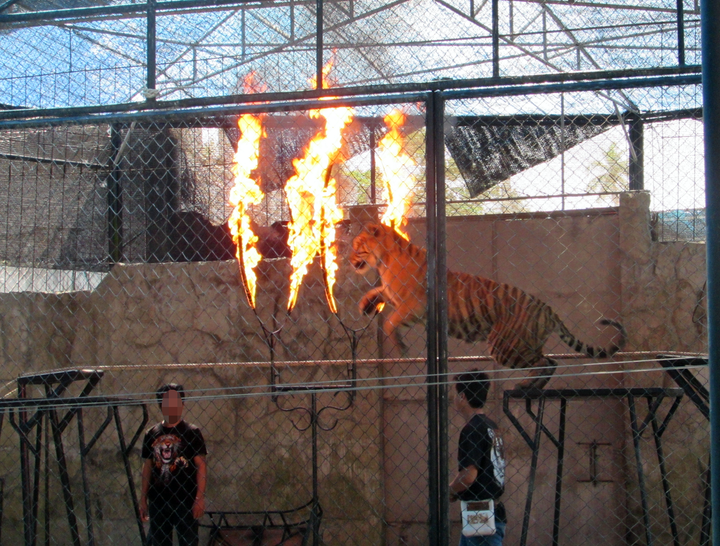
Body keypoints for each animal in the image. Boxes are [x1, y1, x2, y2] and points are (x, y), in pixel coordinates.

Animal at [352, 220, 628, 386]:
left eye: (357, 246)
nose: (351, 260)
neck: (384, 260)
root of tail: (546, 307)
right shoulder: (393, 294)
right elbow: (379, 291)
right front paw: (365, 304)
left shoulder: (415, 306)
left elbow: (390, 322)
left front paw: (400, 347)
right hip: (526, 343)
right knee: (550, 362)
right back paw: (529, 387)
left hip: (505, 345)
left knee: (545, 363)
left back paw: (525, 385)